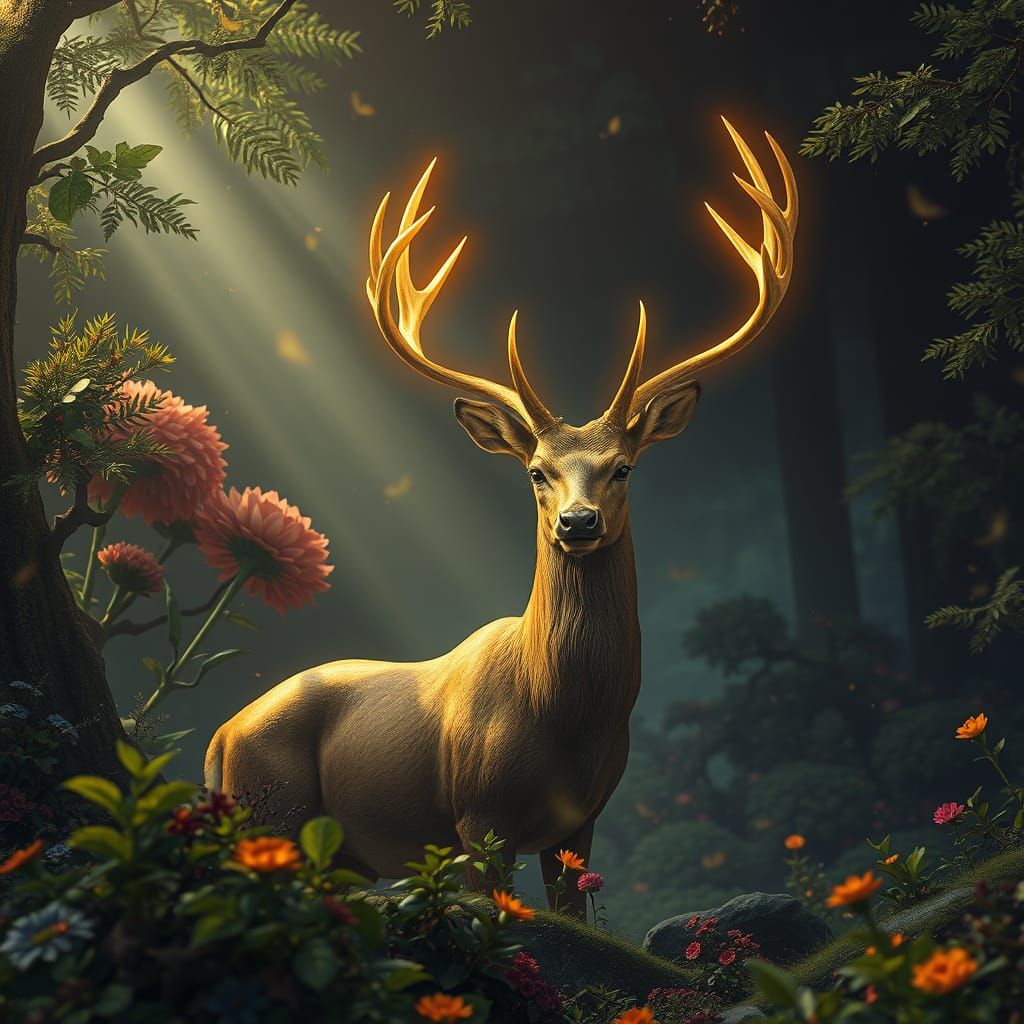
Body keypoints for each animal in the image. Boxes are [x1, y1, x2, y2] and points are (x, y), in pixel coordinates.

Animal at [204, 118, 797, 915]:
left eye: (624, 467)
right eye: (536, 471)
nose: (577, 523)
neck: (562, 714)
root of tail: (219, 736)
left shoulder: (581, 823)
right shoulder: (476, 814)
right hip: (270, 808)